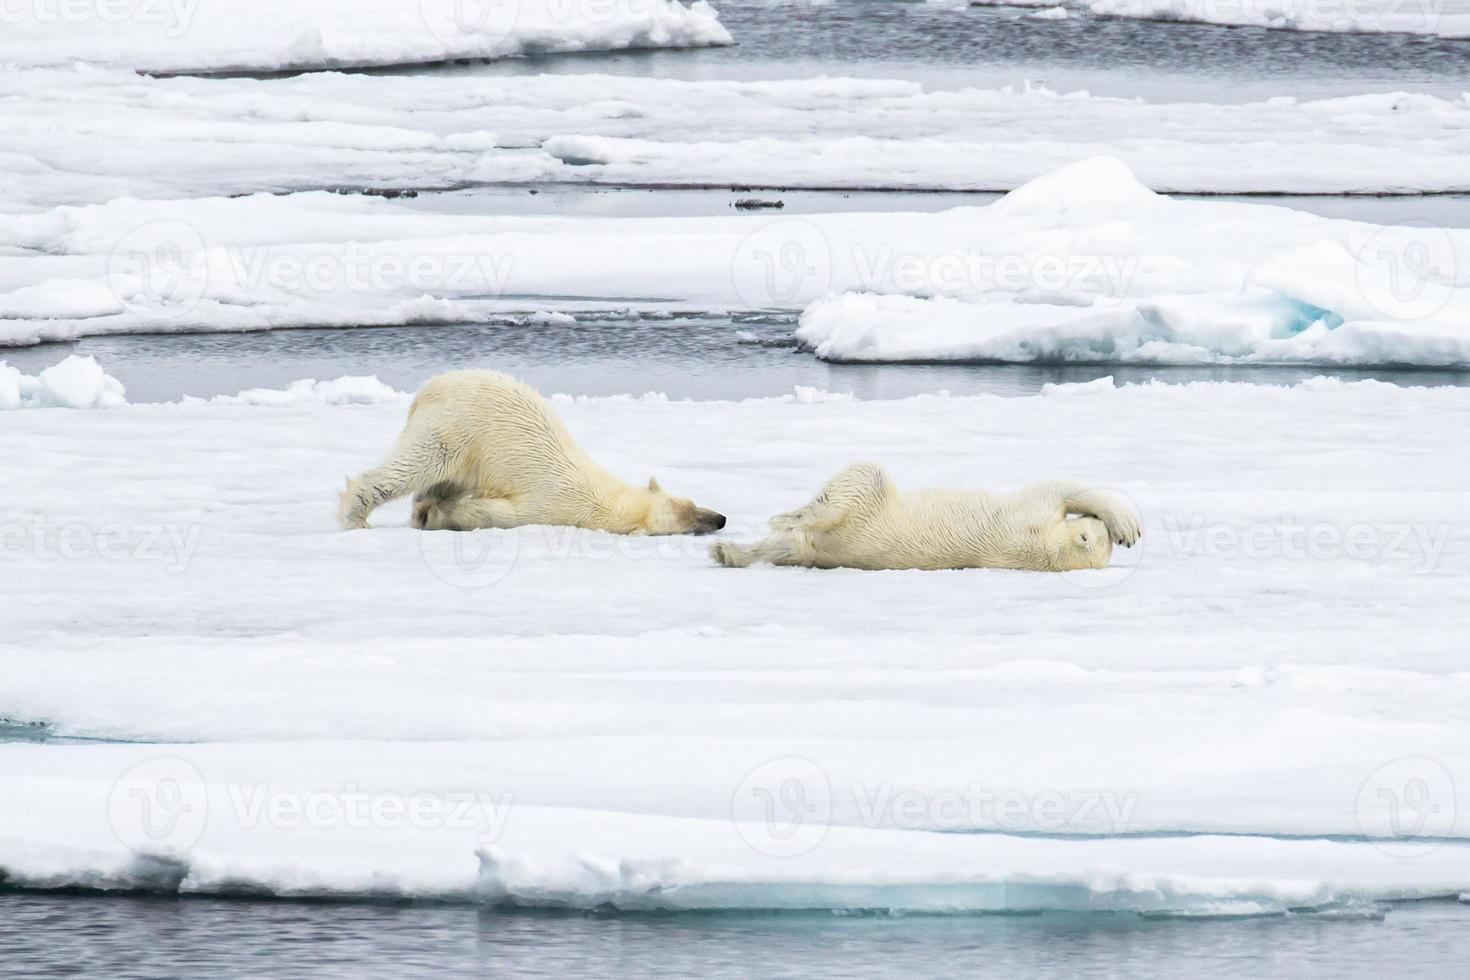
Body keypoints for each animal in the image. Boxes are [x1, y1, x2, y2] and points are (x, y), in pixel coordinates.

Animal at [335, 367, 723, 537]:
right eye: (690, 523)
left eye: (694, 502)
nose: (721, 519)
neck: (606, 496)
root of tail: (432, 386)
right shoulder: (550, 506)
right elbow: (494, 513)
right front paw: (444, 517)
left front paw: (429, 514)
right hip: (455, 425)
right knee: (418, 465)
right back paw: (357, 517)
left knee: (447, 479)